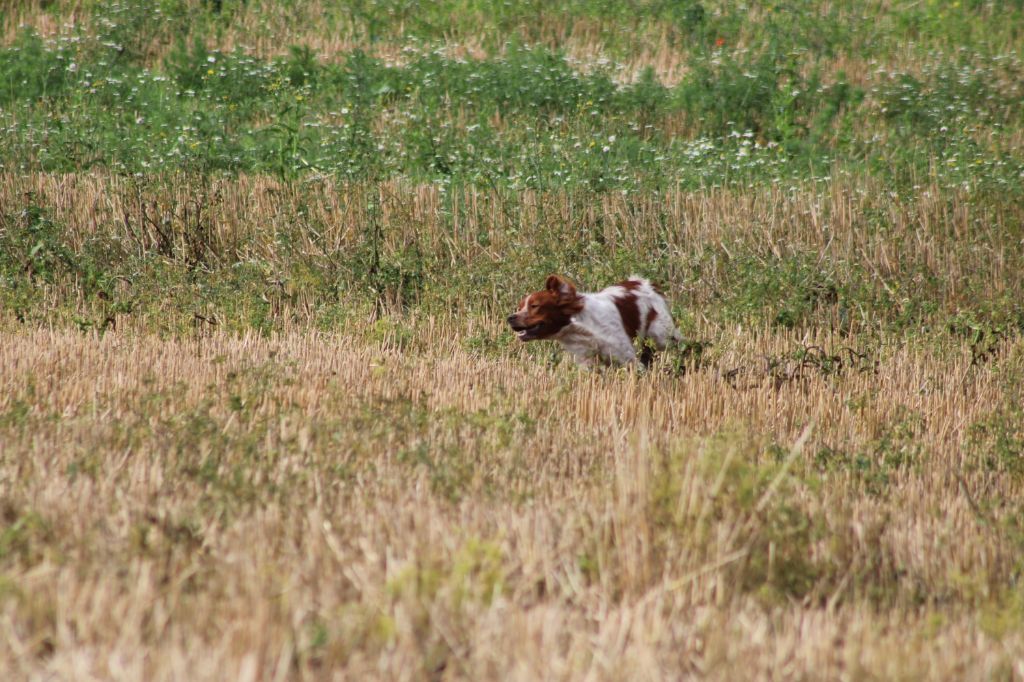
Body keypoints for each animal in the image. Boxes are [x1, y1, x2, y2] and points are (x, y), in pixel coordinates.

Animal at [505, 274, 679, 366]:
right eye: (519, 307)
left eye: (535, 306)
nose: (510, 318)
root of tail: (646, 283)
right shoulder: (586, 360)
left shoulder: (626, 357)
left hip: (662, 336)